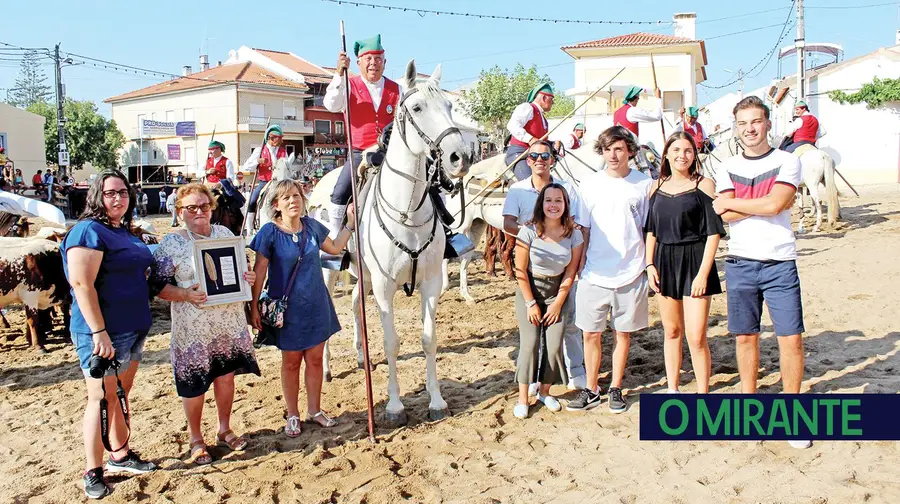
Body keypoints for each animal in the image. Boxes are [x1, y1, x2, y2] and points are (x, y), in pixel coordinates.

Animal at [308, 60, 472, 426]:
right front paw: (395, 406)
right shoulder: (384, 288)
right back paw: (325, 370)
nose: (459, 157)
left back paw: (360, 357)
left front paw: (436, 401)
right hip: (328, 272)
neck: (407, 211)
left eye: (450, 106)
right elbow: (392, 342)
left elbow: (428, 339)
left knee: (356, 303)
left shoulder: (430, 283)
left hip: (362, 275)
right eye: (417, 107)